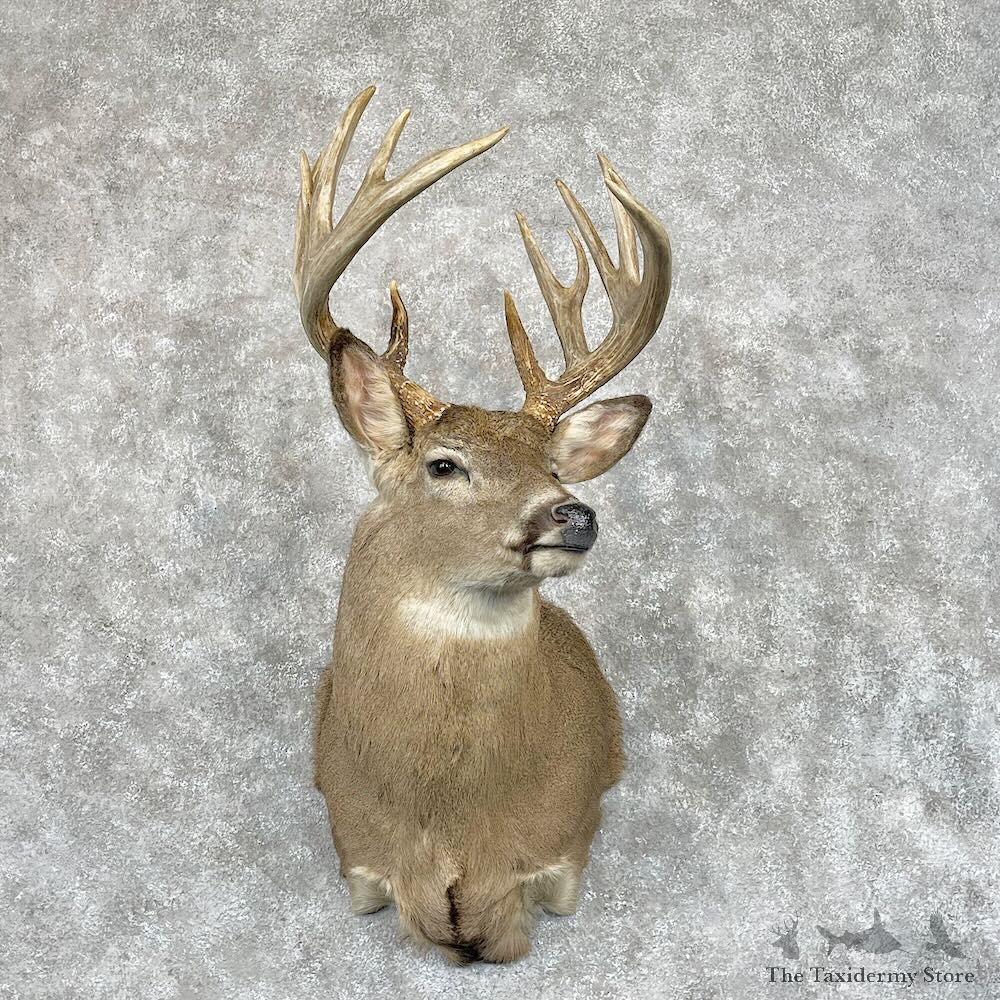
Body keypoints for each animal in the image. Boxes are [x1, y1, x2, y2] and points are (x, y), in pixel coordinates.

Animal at [293, 86, 672, 964]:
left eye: (556, 467)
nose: (573, 513)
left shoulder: (561, 853)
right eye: (444, 465)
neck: (455, 824)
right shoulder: (358, 855)